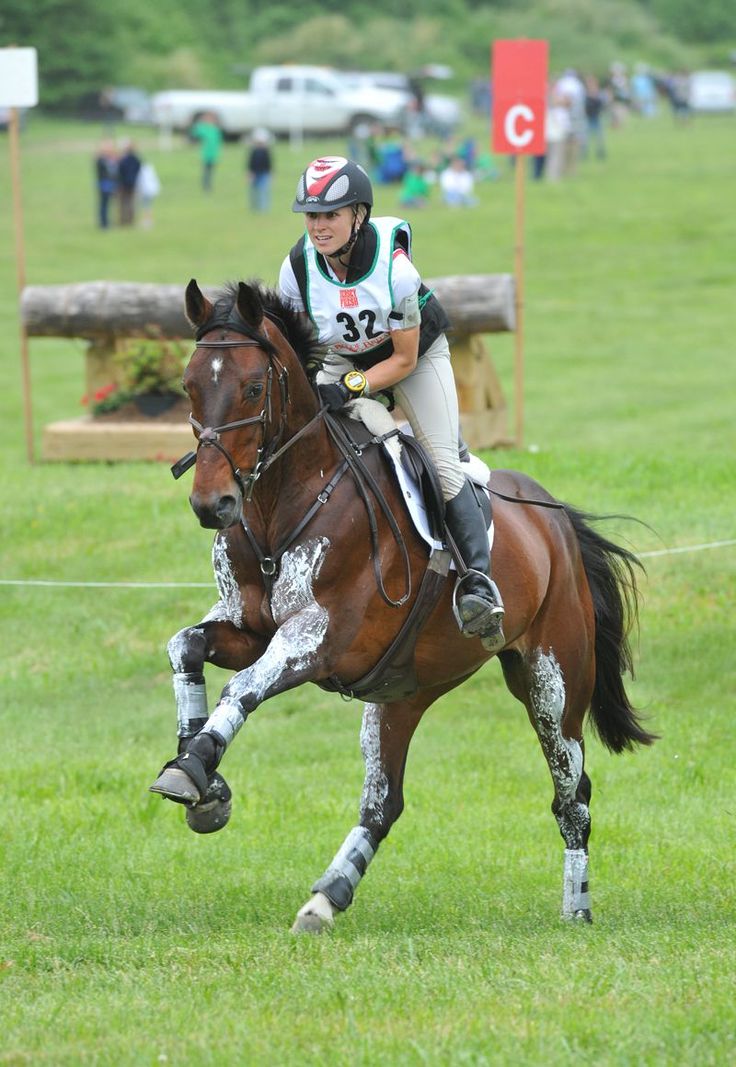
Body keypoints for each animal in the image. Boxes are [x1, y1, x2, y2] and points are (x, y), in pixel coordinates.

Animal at [149, 279, 652, 930]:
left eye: (254, 388)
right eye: (189, 385)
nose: (213, 505)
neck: (279, 508)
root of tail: (556, 520)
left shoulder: (317, 638)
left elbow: (244, 687)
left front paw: (193, 771)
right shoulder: (248, 629)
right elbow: (186, 645)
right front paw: (202, 778)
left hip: (552, 678)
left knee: (572, 794)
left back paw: (577, 912)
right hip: (402, 692)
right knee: (383, 803)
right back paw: (324, 899)